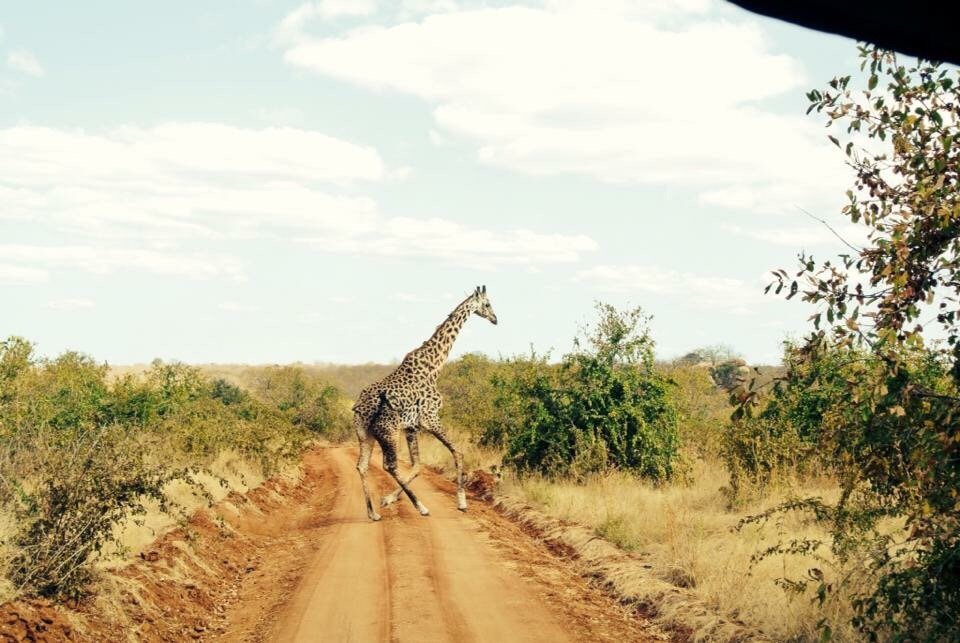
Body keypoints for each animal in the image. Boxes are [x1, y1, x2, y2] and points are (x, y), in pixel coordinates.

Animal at [351, 286, 498, 521]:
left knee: (362, 466)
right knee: (389, 465)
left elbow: (418, 465)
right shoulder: (430, 419)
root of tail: (361, 409)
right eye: (487, 304)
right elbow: (458, 452)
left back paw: (373, 513)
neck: (434, 365)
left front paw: (388, 499)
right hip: (389, 432)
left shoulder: (412, 426)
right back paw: (421, 507)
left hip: (365, 434)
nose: (495, 319)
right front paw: (462, 503)